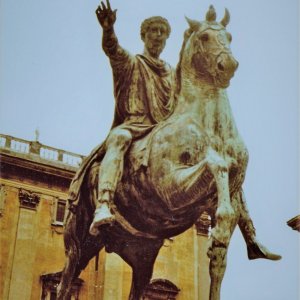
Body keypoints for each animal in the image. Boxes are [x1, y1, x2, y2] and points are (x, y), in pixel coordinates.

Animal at [59, 5, 248, 300]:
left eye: (229, 36)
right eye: (205, 37)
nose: (228, 65)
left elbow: (220, 254)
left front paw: (220, 234)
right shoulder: (169, 188)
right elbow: (216, 164)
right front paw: (107, 24)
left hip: (141, 253)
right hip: (78, 243)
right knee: (65, 282)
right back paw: (102, 215)